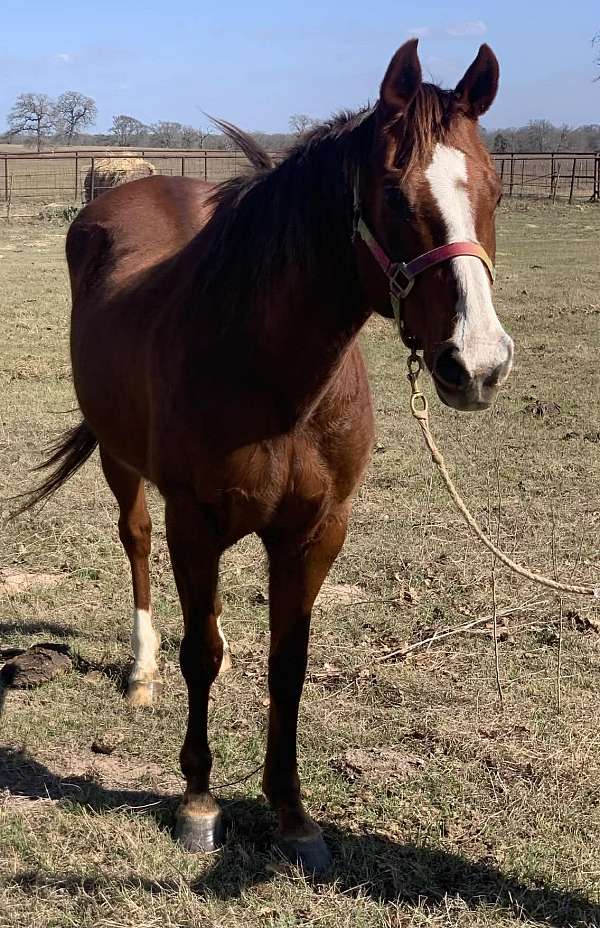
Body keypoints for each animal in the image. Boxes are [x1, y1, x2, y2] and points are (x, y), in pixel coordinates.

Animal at [21, 39, 513, 872]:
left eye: (495, 189)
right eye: (392, 193)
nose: (476, 364)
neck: (269, 371)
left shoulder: (316, 530)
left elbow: (290, 663)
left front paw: (292, 813)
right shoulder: (194, 523)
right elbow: (199, 655)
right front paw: (198, 802)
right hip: (123, 462)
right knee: (136, 543)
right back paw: (141, 670)